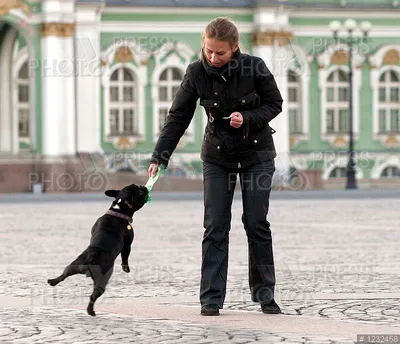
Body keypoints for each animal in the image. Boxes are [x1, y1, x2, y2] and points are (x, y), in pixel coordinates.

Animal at [47, 184, 147, 316]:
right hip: (102, 279)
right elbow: (125, 257)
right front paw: (126, 268)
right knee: (93, 296)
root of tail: (92, 257)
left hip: (74, 265)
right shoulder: (127, 245)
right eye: (139, 192)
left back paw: (52, 281)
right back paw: (91, 311)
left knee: (63, 275)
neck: (118, 211)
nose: (143, 187)